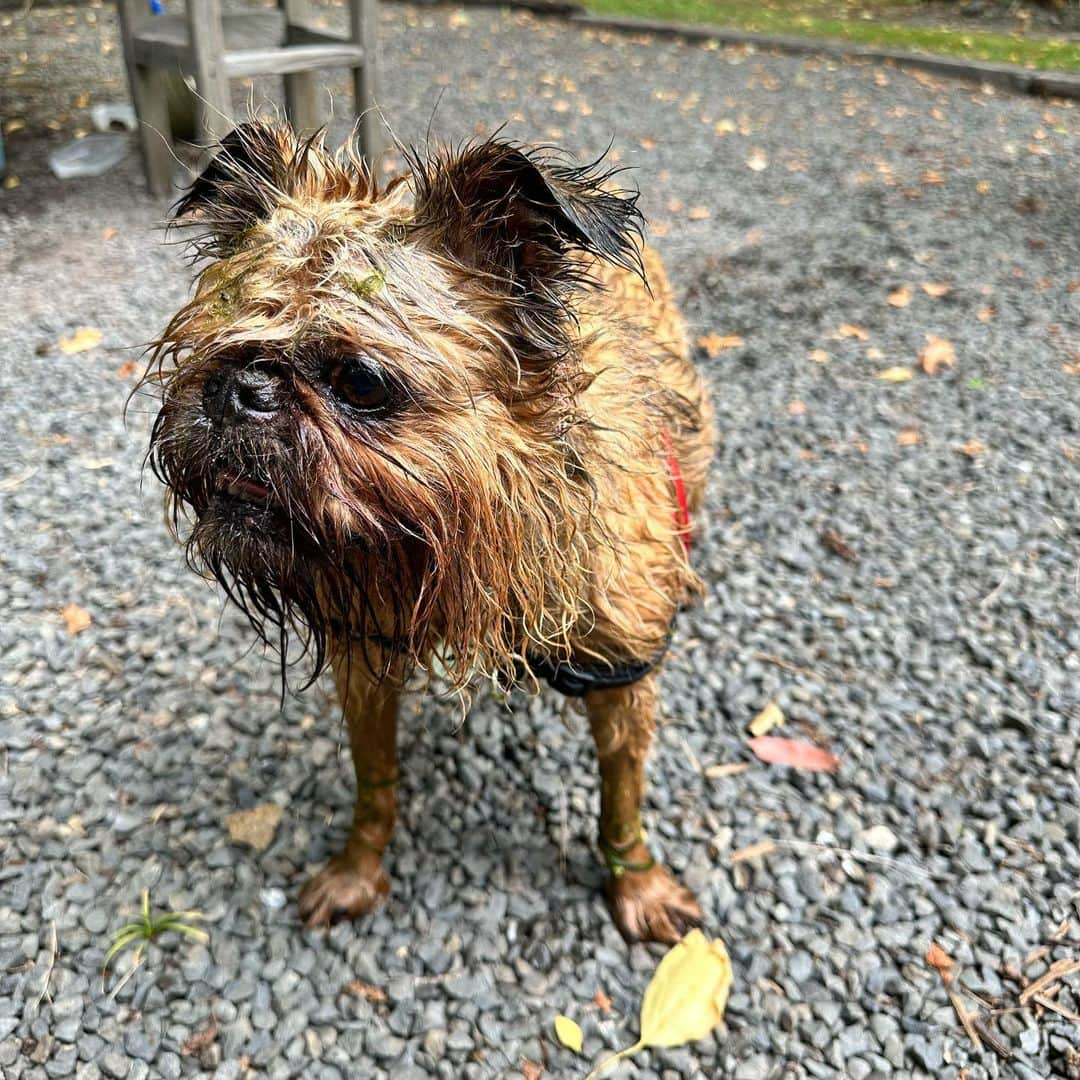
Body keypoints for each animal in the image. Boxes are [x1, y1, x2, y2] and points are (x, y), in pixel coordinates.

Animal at [145, 120, 717, 946]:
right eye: (206, 349)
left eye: (361, 382)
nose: (242, 387)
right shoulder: (363, 658)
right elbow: (374, 783)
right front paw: (359, 867)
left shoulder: (621, 684)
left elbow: (623, 799)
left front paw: (635, 884)